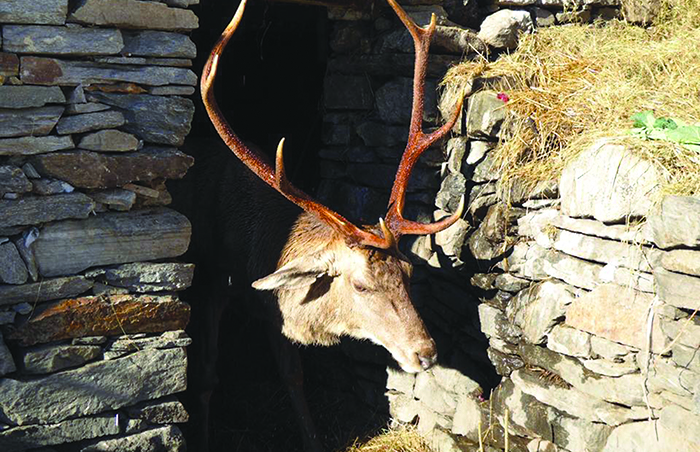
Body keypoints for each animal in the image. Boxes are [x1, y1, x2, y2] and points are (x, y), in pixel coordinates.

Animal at [187, 0, 465, 450]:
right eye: (360, 285)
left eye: (407, 273)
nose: (426, 352)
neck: (251, 248)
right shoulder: (212, 279)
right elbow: (210, 375)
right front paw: (203, 436)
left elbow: (293, 376)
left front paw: (312, 437)